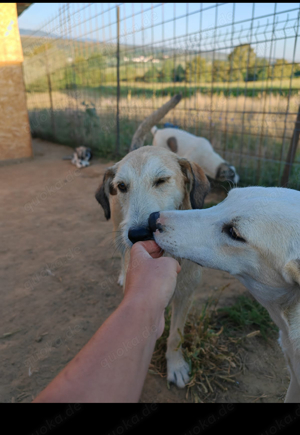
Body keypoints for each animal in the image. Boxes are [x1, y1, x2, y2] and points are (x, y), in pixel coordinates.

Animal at [95, 97, 210, 390]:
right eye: (122, 186)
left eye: (161, 181)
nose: (138, 234)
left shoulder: (185, 296)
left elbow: (176, 335)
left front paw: (176, 365)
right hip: (117, 228)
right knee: (121, 253)